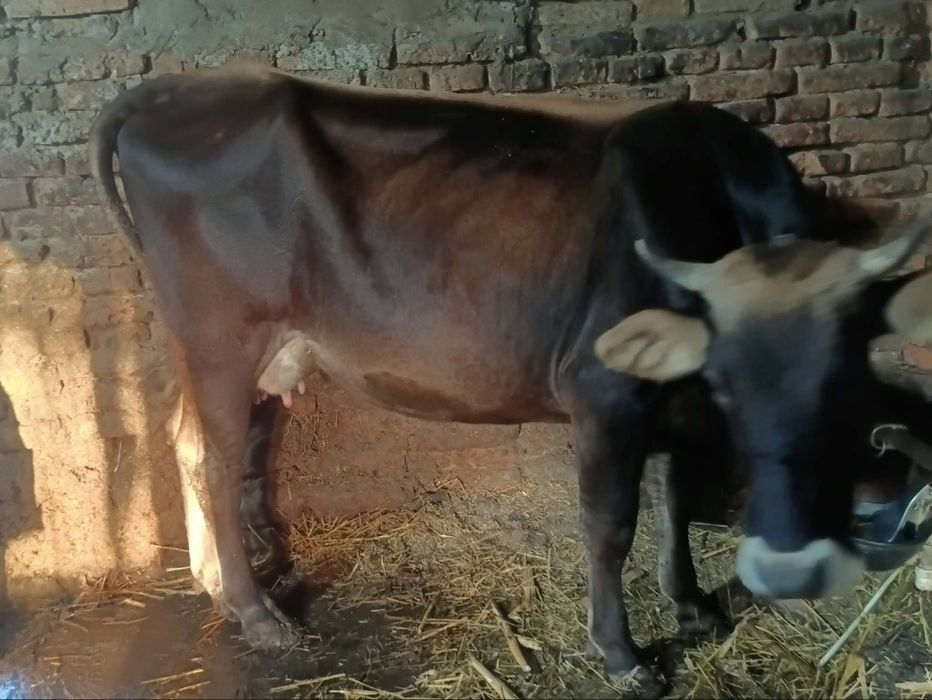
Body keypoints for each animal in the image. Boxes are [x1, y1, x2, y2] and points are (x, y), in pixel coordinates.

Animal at [88, 64, 932, 692]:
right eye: (730, 377)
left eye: (840, 378)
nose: (792, 564)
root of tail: (182, 88)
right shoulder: (606, 391)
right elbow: (610, 524)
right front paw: (623, 654)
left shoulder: (670, 400)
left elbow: (677, 499)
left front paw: (692, 606)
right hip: (221, 337)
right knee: (214, 460)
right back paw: (259, 614)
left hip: (242, 352)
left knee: (190, 444)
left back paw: (217, 587)